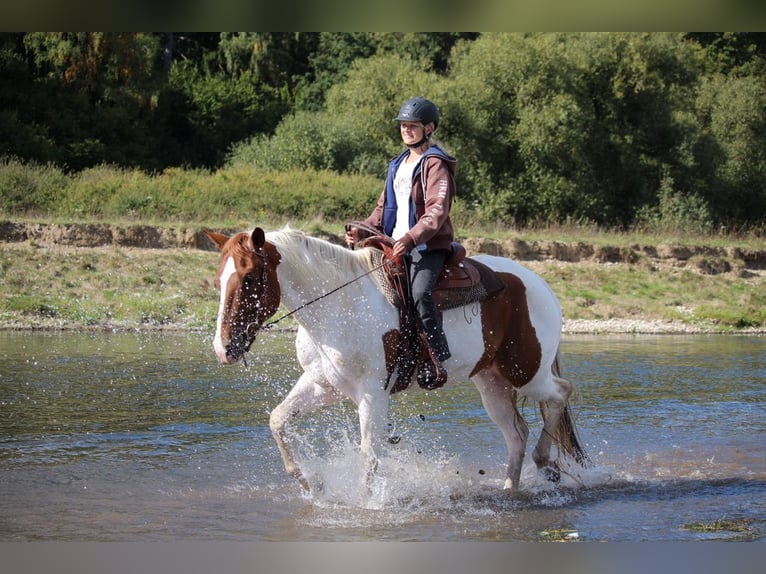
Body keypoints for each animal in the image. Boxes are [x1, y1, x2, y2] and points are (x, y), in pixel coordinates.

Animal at [206, 226, 590, 498]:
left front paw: (363, 505)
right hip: (492, 382)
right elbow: (278, 420)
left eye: (249, 278)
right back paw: (511, 489)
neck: (341, 306)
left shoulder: (372, 394)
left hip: (526, 371)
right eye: (218, 281)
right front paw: (313, 485)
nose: (223, 348)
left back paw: (546, 463)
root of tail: (540, 284)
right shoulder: (322, 384)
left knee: (561, 393)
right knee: (516, 433)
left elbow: (369, 454)